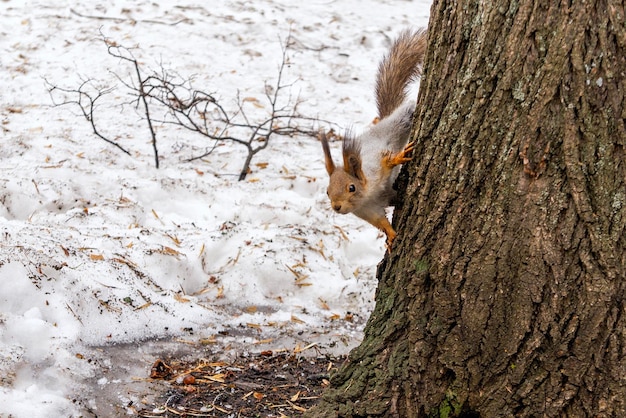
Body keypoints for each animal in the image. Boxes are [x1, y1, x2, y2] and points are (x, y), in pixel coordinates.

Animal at [320, 30, 426, 251]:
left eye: (351, 187)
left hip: (399, 121)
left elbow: (385, 163)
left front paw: (396, 159)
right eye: (327, 191)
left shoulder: (373, 168)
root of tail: (384, 120)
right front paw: (391, 236)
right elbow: (381, 222)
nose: (337, 207)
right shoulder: (369, 210)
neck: (366, 196)